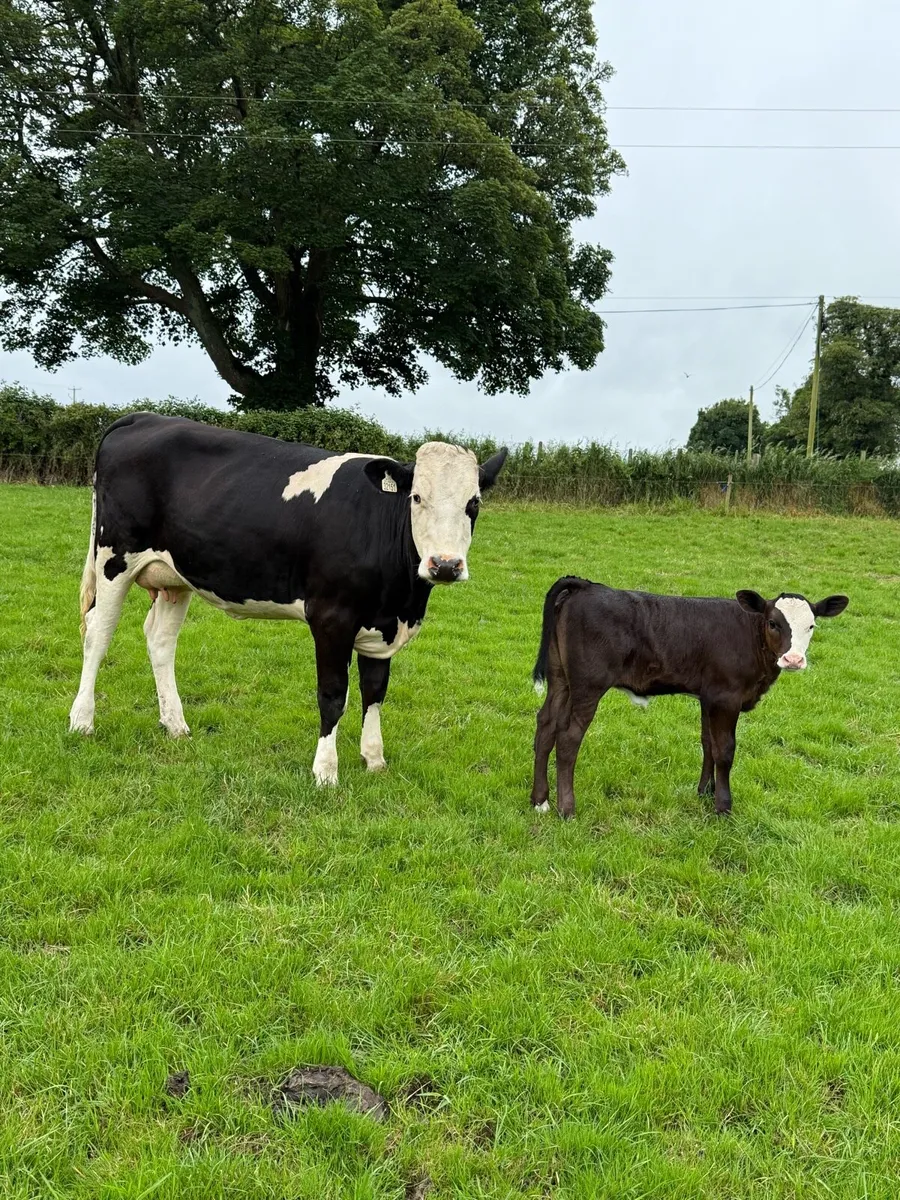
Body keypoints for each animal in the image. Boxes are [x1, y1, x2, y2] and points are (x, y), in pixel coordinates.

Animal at [69, 413, 507, 784]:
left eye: (474, 503)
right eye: (416, 498)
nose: (445, 565)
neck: (403, 599)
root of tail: (142, 417)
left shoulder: (383, 624)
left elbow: (375, 691)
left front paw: (374, 759)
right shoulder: (332, 617)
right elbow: (333, 694)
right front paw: (326, 772)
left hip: (175, 576)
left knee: (160, 640)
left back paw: (175, 725)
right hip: (114, 557)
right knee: (97, 634)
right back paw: (82, 720)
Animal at [530, 577, 849, 819]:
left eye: (811, 626)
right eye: (773, 623)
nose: (794, 659)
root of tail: (585, 585)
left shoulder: (708, 697)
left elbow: (708, 743)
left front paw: (705, 792)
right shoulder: (726, 697)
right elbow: (725, 750)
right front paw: (723, 807)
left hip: (560, 679)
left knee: (546, 724)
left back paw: (539, 800)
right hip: (588, 685)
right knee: (568, 737)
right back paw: (566, 809)